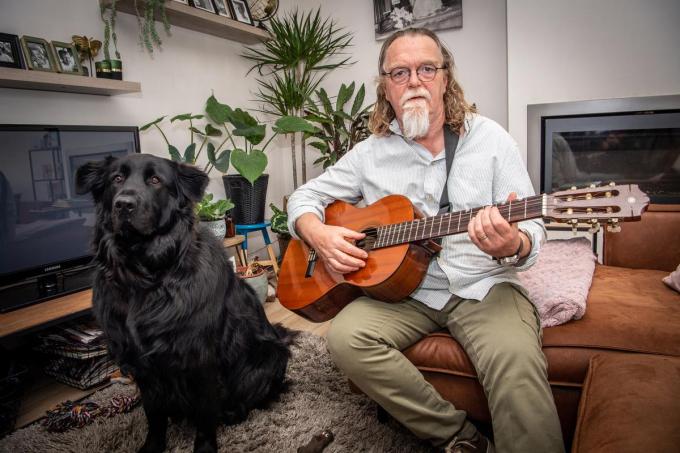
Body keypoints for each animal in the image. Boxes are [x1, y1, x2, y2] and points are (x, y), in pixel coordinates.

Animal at [77, 154, 294, 450]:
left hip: (269, 355)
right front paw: (152, 446)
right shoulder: (142, 367)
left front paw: (204, 447)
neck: (146, 276)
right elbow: (154, 415)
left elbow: (204, 418)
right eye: (116, 179)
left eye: (155, 180)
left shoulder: (200, 361)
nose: (123, 204)